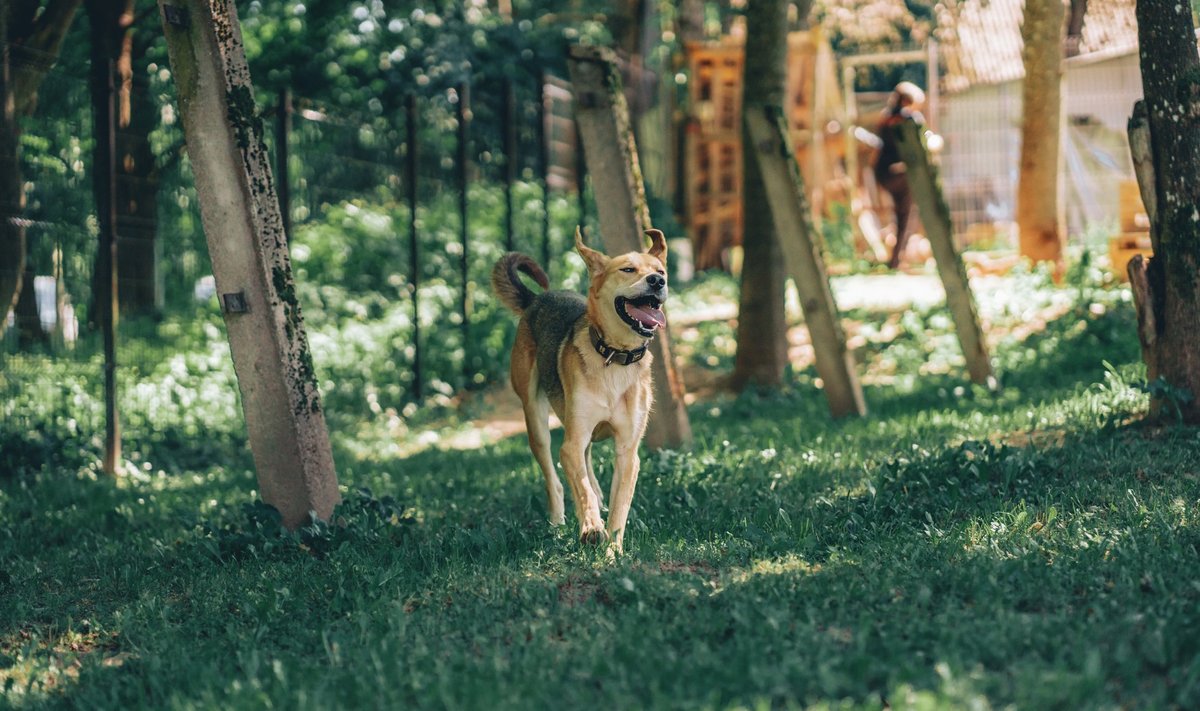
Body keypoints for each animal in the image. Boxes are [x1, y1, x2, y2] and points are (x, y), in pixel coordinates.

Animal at [492, 228, 672, 550]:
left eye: (660, 271)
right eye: (628, 269)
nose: (657, 281)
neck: (615, 358)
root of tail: (537, 298)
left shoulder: (627, 452)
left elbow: (619, 508)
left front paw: (613, 550)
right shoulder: (571, 443)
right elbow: (581, 489)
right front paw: (591, 527)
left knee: (587, 466)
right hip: (535, 419)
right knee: (555, 479)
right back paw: (558, 522)